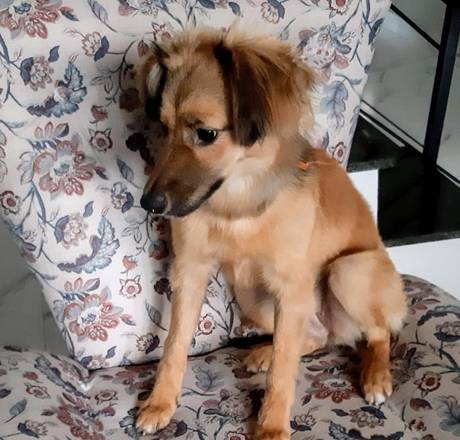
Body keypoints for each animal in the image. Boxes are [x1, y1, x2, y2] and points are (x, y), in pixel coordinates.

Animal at [136, 26, 407, 439]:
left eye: (206, 133)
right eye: (164, 129)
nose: (148, 203)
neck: (236, 207)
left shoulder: (290, 288)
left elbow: (284, 370)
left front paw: (272, 426)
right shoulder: (190, 271)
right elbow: (174, 343)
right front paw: (160, 402)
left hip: (348, 271)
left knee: (376, 332)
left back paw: (376, 375)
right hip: (252, 298)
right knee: (311, 339)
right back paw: (268, 351)